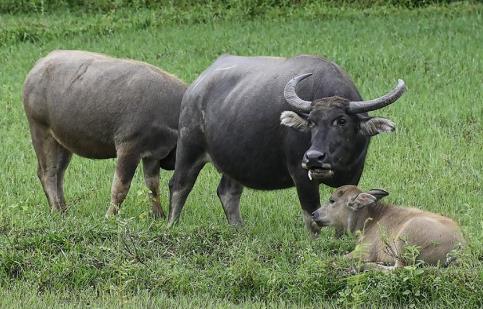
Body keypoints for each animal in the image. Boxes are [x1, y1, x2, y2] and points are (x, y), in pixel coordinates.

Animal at [23, 50, 188, 217]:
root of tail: (39, 65)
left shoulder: (152, 154)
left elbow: (152, 185)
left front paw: (158, 215)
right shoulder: (129, 148)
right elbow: (121, 187)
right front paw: (110, 216)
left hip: (62, 141)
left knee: (59, 173)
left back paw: (64, 210)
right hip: (40, 131)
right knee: (47, 173)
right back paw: (56, 210)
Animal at [168, 53, 406, 231]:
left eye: (341, 121)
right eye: (311, 122)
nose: (313, 157)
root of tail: (194, 88)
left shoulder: (354, 173)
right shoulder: (301, 175)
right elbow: (312, 217)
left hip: (235, 160)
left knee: (228, 191)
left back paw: (238, 229)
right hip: (189, 148)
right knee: (179, 185)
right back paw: (171, 225)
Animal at [312, 184, 466, 268]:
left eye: (332, 200)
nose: (314, 214)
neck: (371, 220)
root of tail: (460, 246)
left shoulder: (363, 251)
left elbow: (336, 259)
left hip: (405, 243)